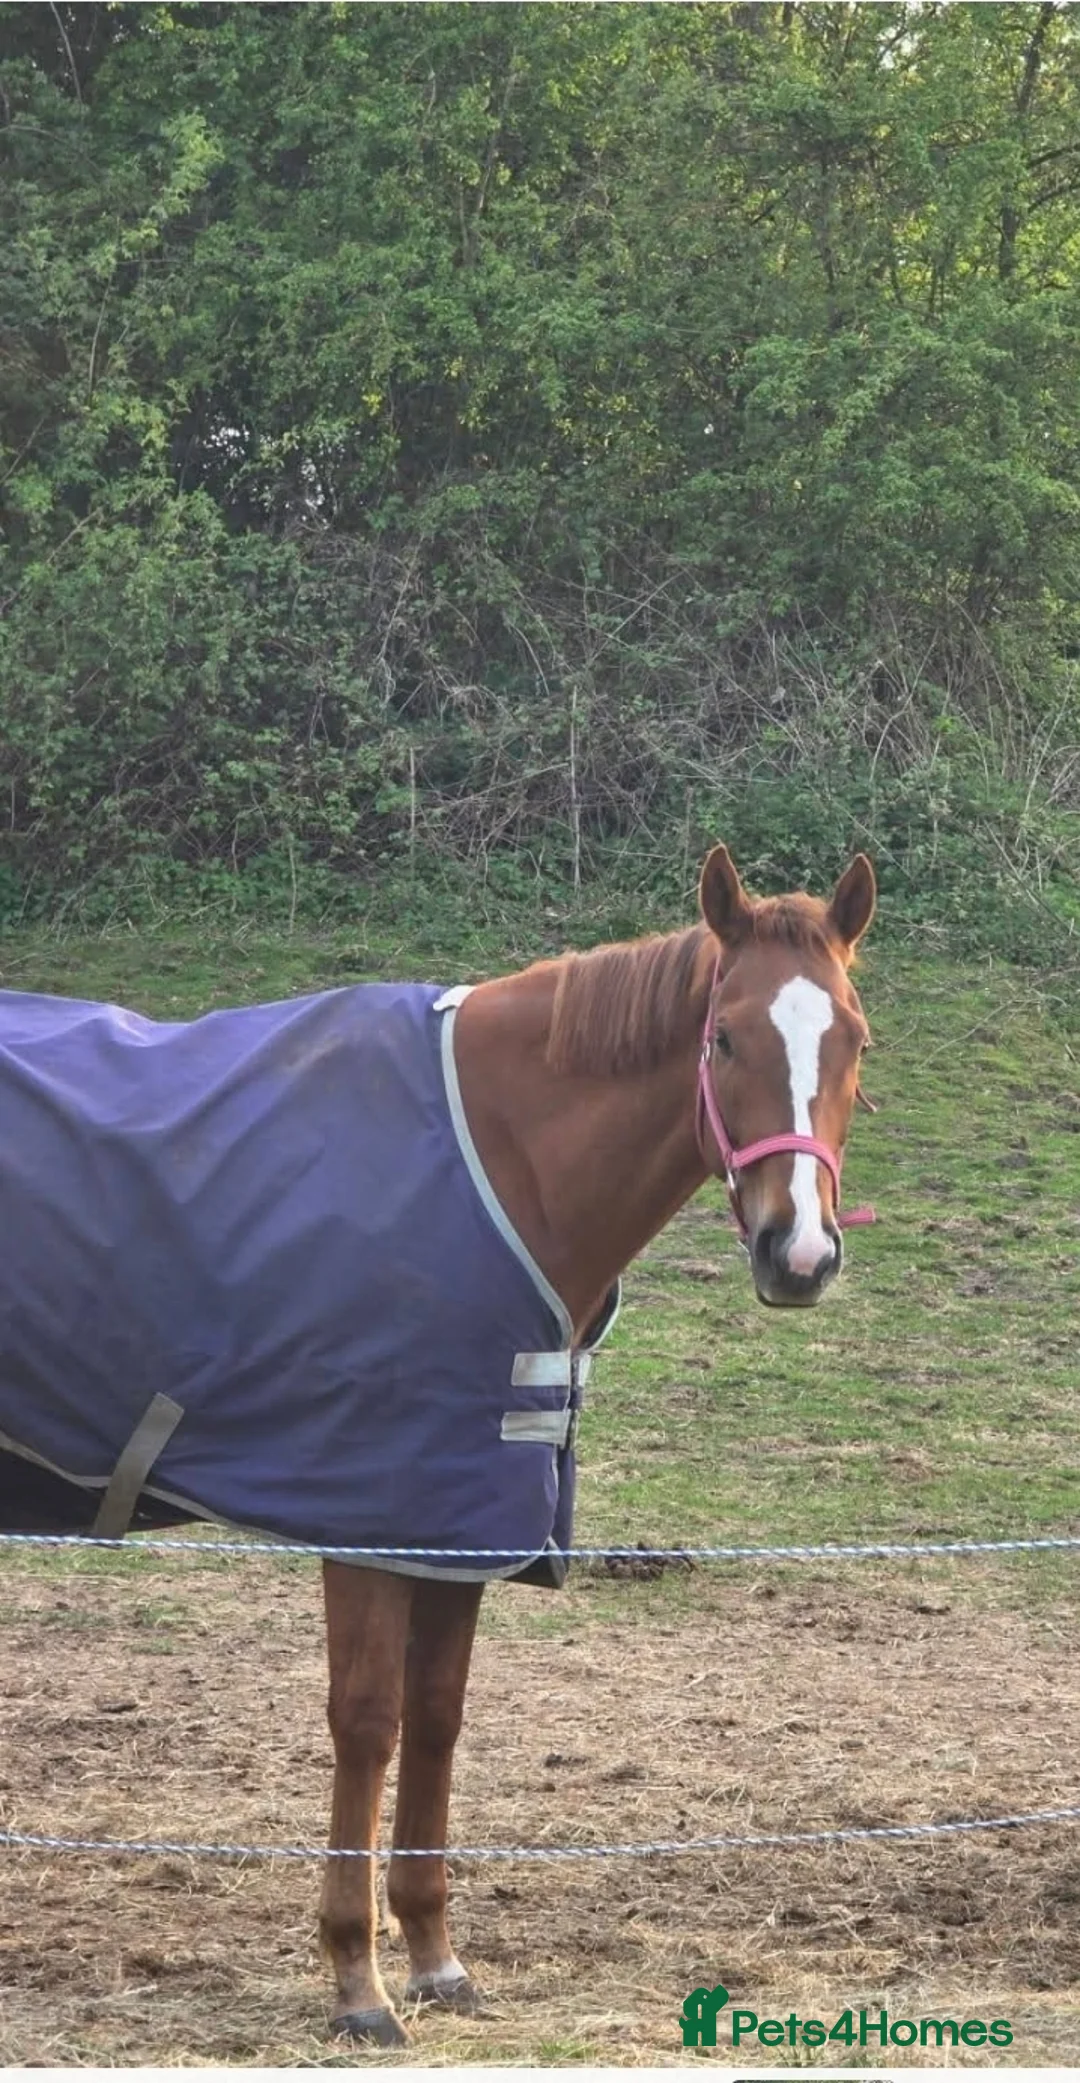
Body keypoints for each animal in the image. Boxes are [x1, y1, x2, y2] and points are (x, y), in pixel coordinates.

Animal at [0, 843, 876, 2045]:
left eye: (854, 1038)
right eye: (726, 1037)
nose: (801, 1255)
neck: (501, 1159)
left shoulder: (457, 1520)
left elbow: (439, 1718)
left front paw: (432, 1955)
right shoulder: (375, 1508)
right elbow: (369, 1722)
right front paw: (357, 1981)